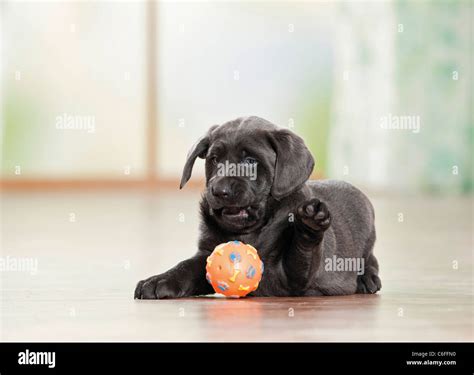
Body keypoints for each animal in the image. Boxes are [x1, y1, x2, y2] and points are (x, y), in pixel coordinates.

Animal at [134, 116, 382, 298]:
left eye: (250, 161)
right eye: (214, 159)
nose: (220, 190)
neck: (251, 232)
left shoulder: (296, 279)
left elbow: (302, 250)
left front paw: (310, 223)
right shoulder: (206, 253)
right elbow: (186, 267)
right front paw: (160, 279)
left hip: (368, 235)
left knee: (371, 259)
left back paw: (366, 279)